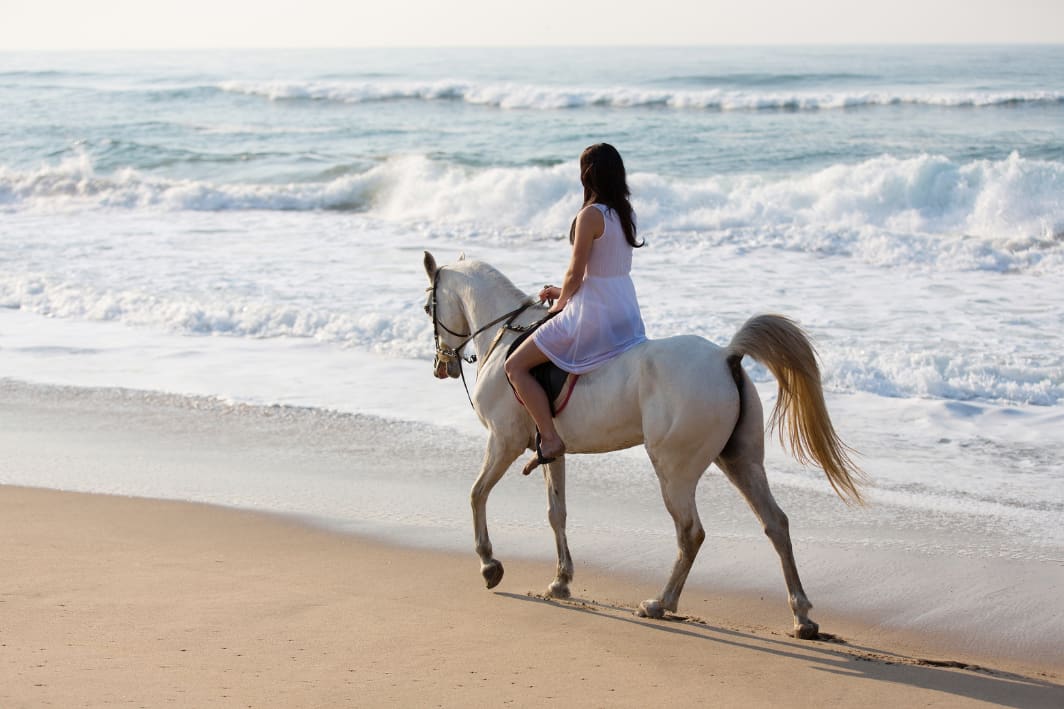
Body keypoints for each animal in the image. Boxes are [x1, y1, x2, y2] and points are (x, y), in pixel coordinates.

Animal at [423, 251, 863, 638]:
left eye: (428, 307)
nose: (442, 366)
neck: (504, 338)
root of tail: (726, 356)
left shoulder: (504, 441)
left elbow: (477, 494)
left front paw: (489, 564)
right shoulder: (552, 451)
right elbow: (556, 513)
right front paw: (561, 581)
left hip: (674, 470)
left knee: (691, 532)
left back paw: (660, 603)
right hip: (740, 461)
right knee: (776, 524)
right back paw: (802, 618)